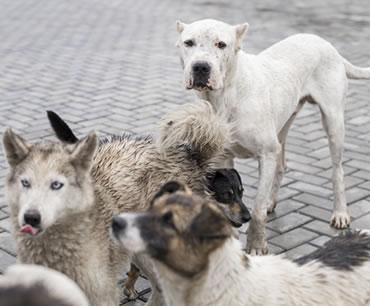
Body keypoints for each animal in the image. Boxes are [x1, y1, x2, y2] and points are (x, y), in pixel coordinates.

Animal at [176, 17, 370, 255]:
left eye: (221, 44)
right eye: (189, 43)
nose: (201, 66)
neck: (225, 96)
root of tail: (328, 45)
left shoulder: (266, 153)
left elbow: (257, 210)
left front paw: (256, 245)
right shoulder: (224, 158)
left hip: (333, 122)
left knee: (337, 170)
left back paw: (340, 212)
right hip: (283, 126)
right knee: (281, 164)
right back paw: (272, 200)